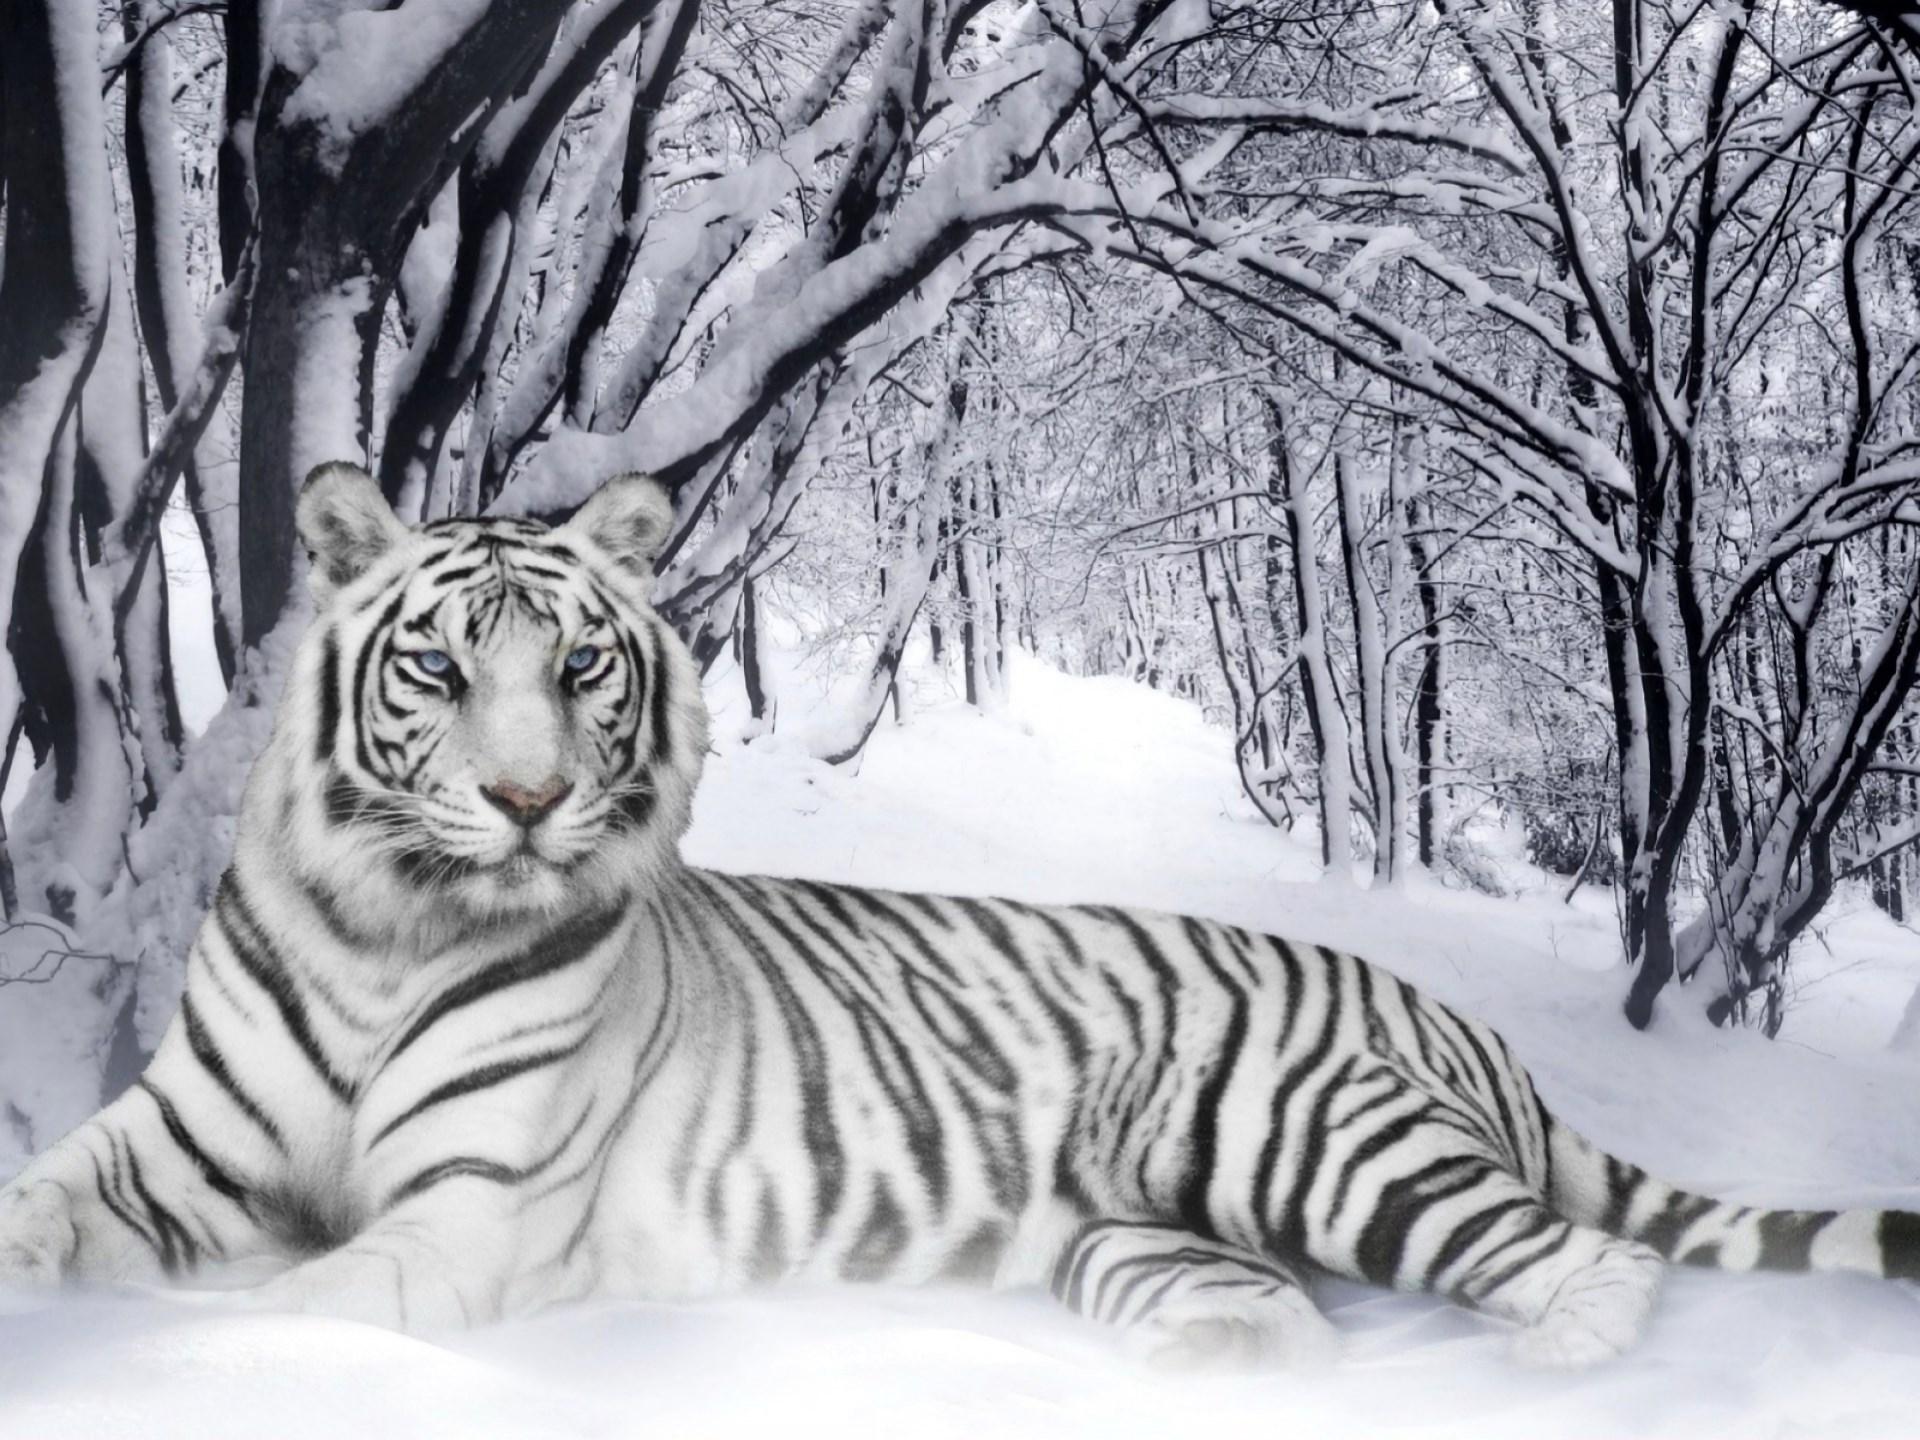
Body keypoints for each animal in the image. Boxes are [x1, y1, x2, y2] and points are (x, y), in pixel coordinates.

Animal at [1, 461, 1915, 1371]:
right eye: (440, 670)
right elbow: (44, 1209)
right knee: (1280, 1309)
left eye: (582, 667)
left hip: (1309, 1136)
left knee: (1588, 1263)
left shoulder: (463, 1216)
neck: (386, 930)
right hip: (1136, 1228)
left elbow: (286, 1314)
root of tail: (1464, 1023)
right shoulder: (172, 1144)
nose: (533, 803)